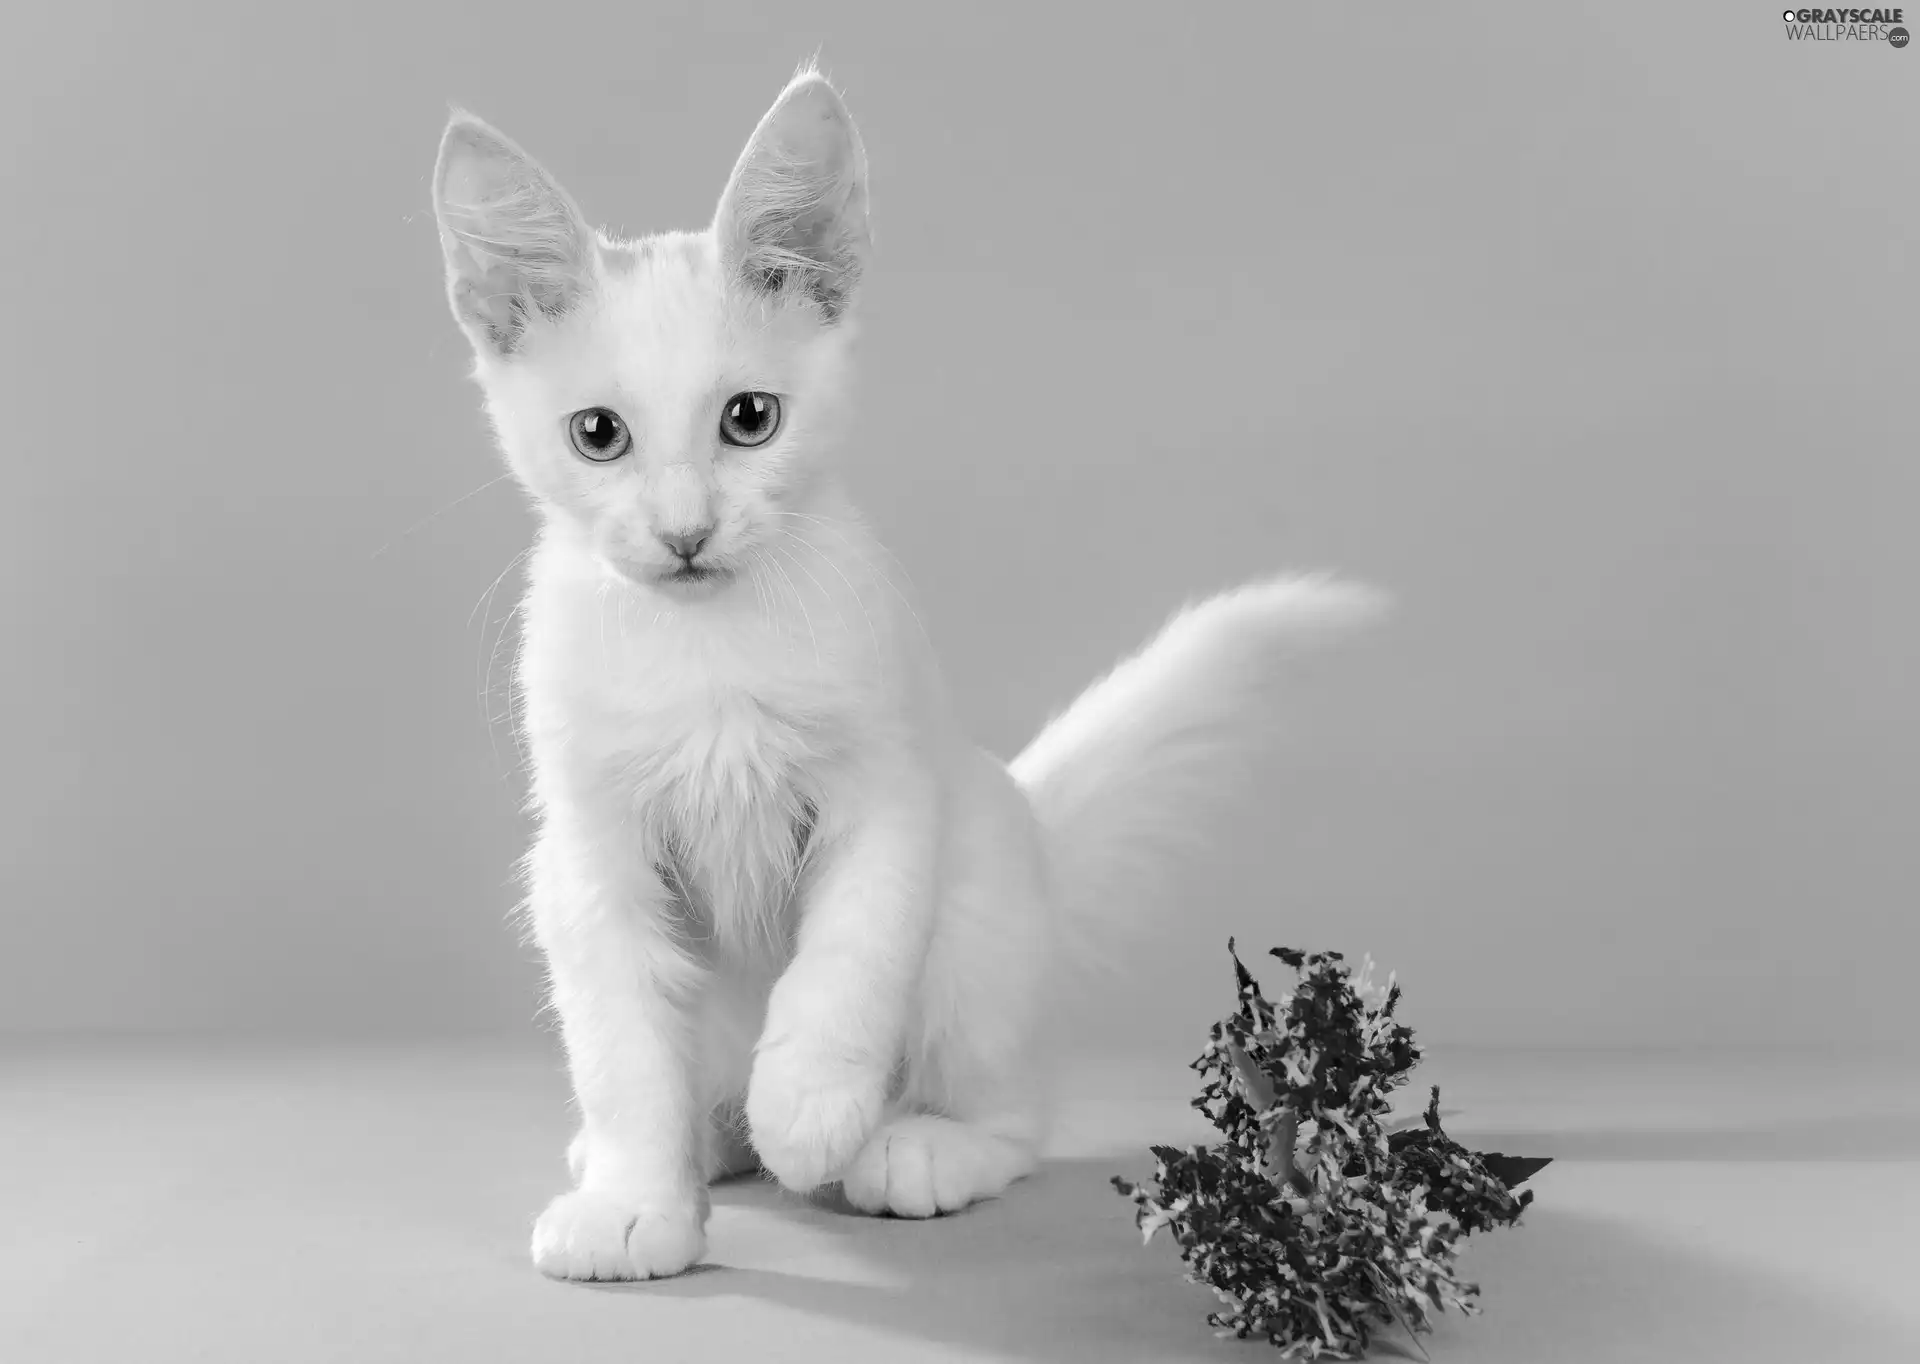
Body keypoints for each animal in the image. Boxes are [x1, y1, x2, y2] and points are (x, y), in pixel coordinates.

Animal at [430, 64, 1390, 1283]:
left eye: (750, 419)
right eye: (598, 434)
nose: (687, 531)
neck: (710, 651)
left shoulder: (885, 789)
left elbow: (845, 963)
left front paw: (808, 1109)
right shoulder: (591, 852)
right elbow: (622, 1047)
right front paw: (635, 1200)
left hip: (976, 894)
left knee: (1018, 1115)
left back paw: (912, 1145)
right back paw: (700, 1140)